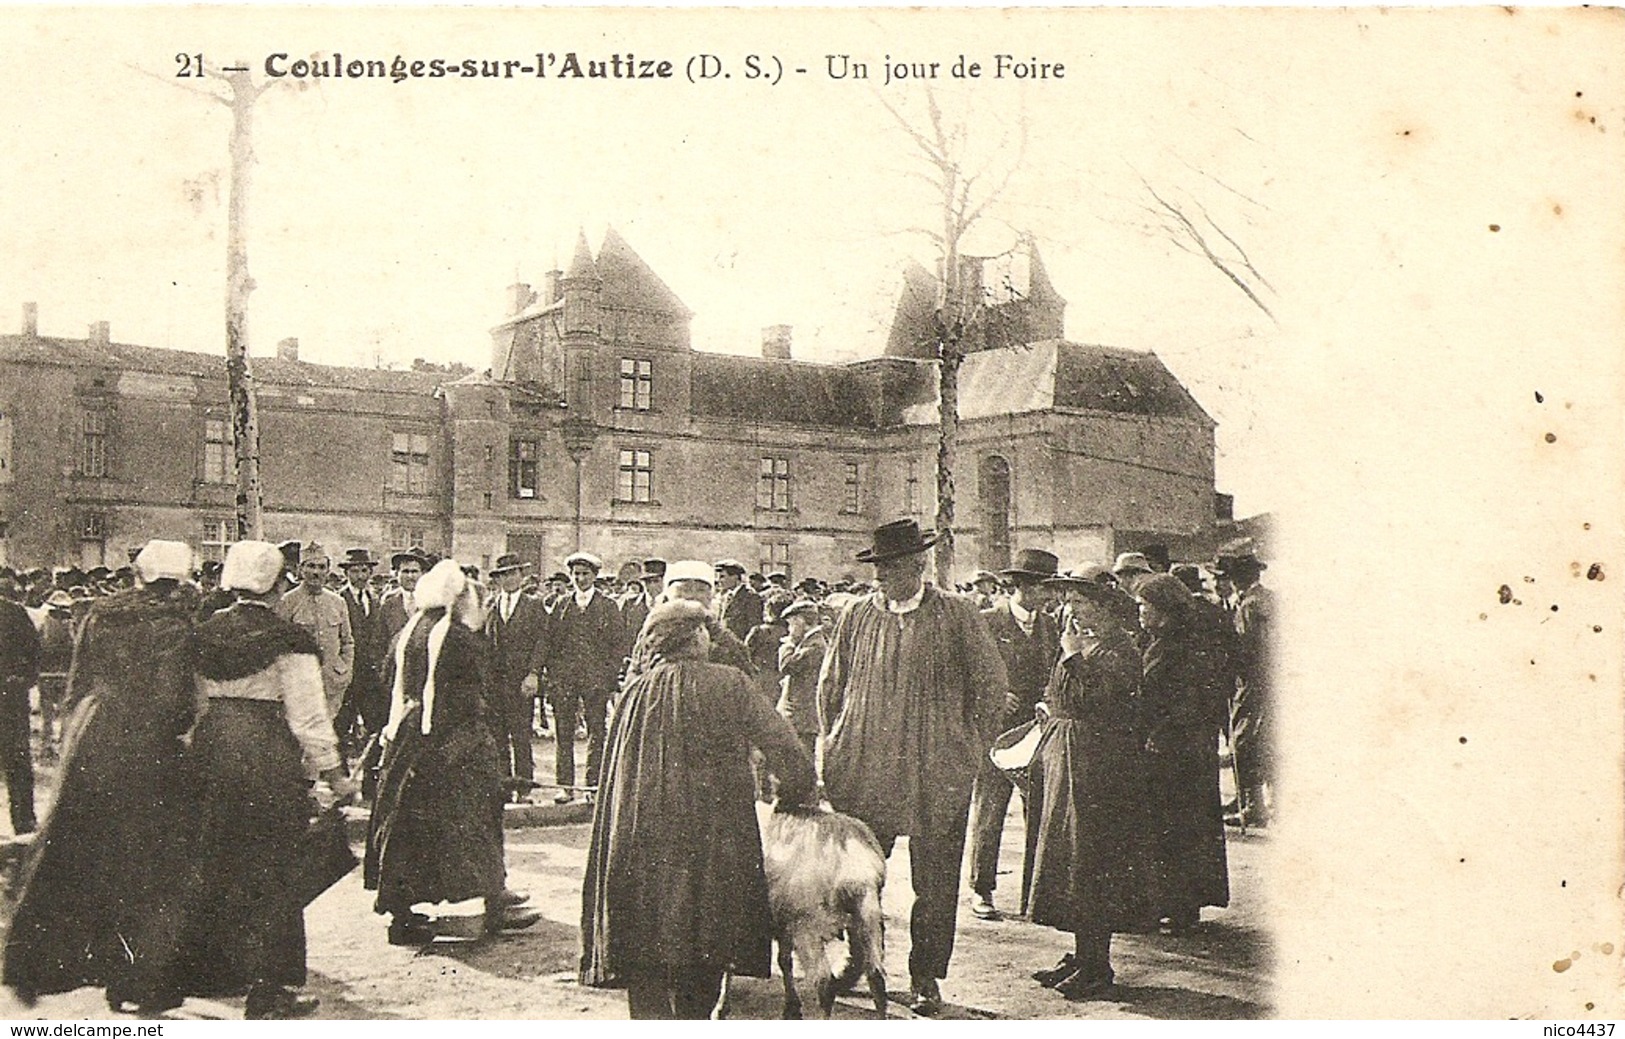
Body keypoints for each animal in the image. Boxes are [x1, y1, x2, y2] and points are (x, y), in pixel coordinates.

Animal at [757, 806, 890, 1014]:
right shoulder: (783, 923)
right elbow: (784, 960)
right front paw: (792, 1007)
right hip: (868, 913)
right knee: (877, 977)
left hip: (807, 925)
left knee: (824, 984)